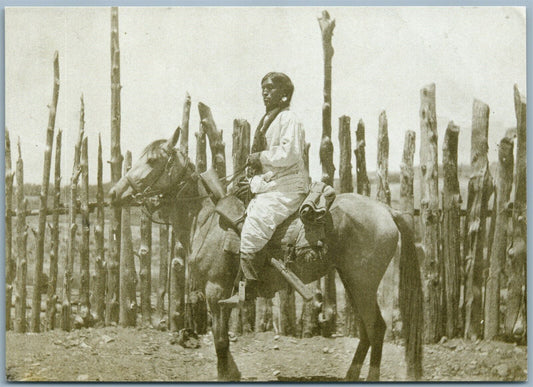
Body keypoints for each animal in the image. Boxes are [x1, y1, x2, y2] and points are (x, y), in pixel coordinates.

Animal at [109, 129, 424, 384]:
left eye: (152, 160)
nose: (113, 193)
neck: (207, 217)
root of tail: (387, 210)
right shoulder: (222, 294)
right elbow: (221, 337)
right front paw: (233, 373)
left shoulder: (216, 290)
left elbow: (220, 339)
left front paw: (225, 374)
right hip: (352, 281)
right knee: (366, 330)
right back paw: (351, 374)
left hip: (362, 283)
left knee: (377, 328)